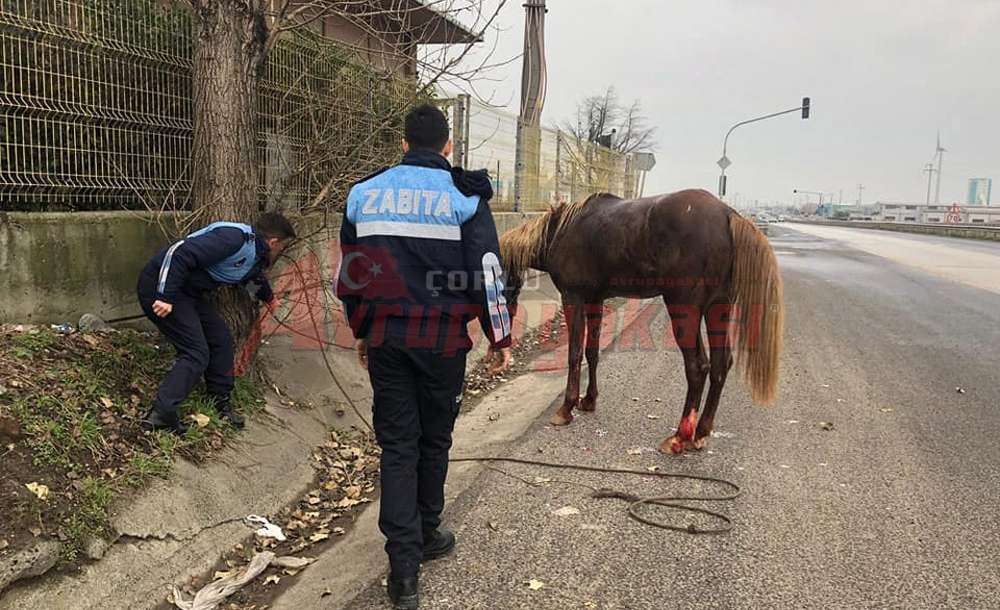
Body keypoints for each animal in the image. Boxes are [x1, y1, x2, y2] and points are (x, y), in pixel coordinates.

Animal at [500, 189, 780, 452]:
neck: (560, 231)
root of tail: (727, 214)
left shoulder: (573, 298)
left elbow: (574, 354)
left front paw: (566, 408)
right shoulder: (595, 301)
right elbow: (592, 352)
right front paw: (588, 400)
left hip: (684, 310)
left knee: (698, 367)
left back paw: (680, 437)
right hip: (717, 309)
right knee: (721, 365)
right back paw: (700, 433)